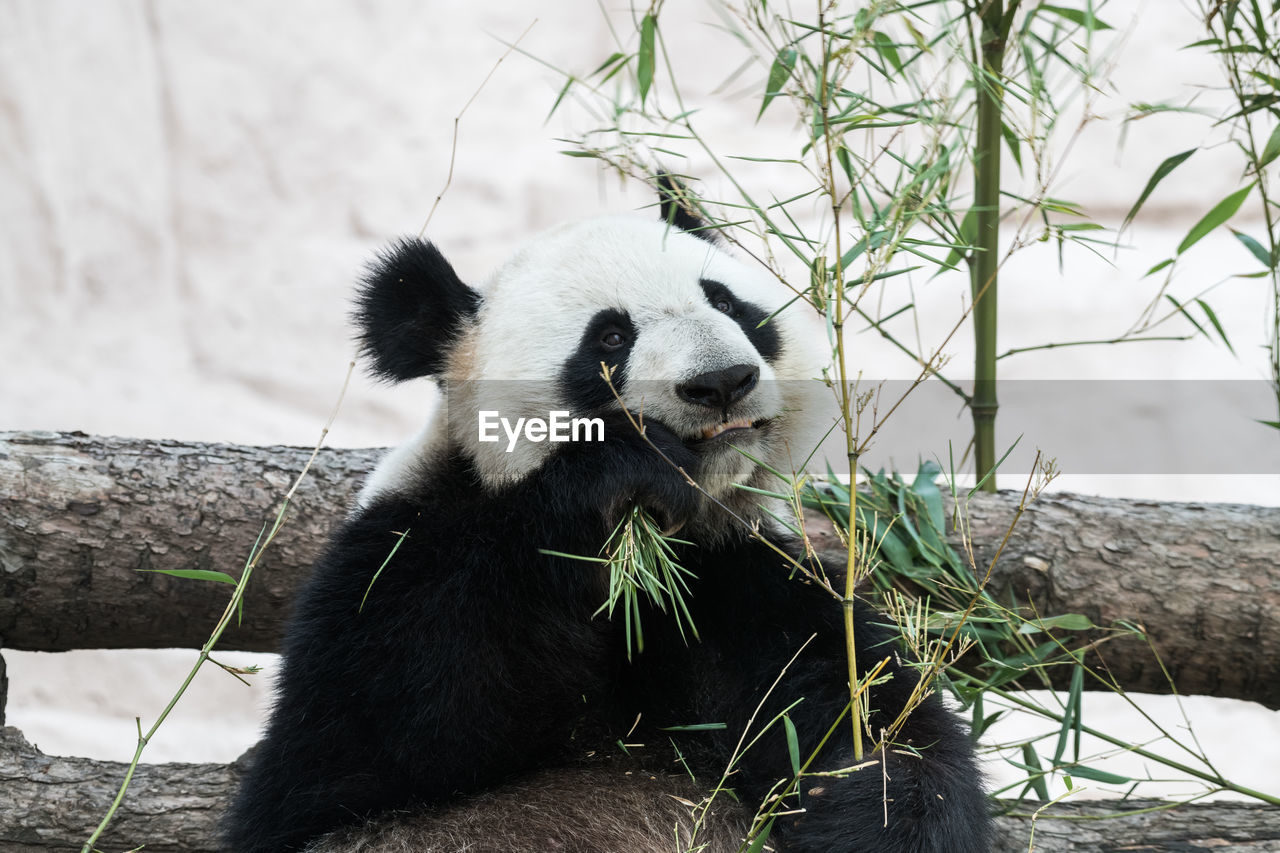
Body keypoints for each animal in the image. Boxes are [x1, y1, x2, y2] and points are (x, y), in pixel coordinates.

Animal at [225, 180, 993, 850]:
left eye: (727, 302)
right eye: (610, 339)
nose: (722, 381)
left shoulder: (740, 580)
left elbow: (872, 718)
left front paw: (868, 802)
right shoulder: (393, 551)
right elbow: (377, 723)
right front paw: (620, 470)